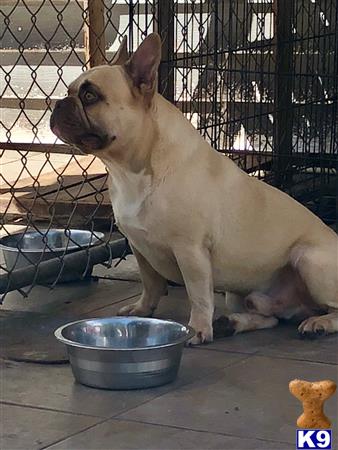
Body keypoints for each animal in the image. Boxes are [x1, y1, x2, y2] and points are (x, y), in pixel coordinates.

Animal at [50, 34, 338, 344]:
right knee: (270, 316)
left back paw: (318, 323)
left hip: (308, 260)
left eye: (90, 96)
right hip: (240, 293)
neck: (132, 170)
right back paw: (232, 323)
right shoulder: (139, 247)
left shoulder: (190, 250)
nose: (58, 104)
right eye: (70, 91)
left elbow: (197, 294)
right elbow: (150, 283)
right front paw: (142, 310)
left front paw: (198, 328)